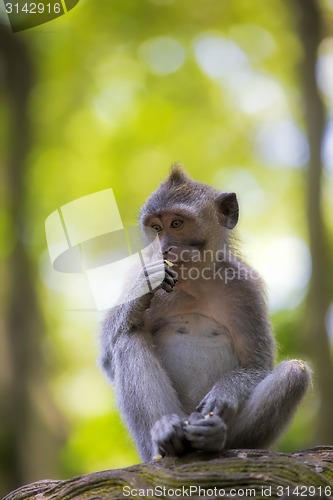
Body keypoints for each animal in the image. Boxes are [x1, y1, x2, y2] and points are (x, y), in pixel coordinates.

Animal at [100, 165, 310, 460]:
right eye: (156, 228)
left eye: (177, 224)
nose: (163, 247)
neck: (194, 283)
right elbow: (107, 358)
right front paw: (148, 283)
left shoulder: (245, 289)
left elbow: (257, 364)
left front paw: (224, 393)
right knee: (127, 337)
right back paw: (164, 436)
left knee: (295, 372)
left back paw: (214, 437)